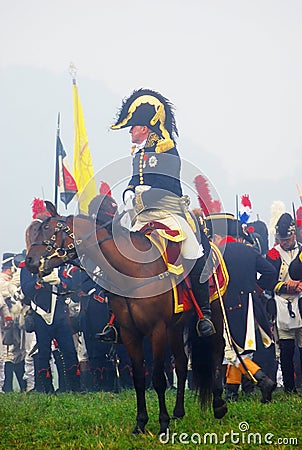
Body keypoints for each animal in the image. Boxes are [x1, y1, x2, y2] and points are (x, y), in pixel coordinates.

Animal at [24, 201, 225, 436]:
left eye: (48, 229)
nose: (29, 261)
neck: (134, 269)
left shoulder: (156, 331)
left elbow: (158, 379)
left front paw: (162, 423)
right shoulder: (130, 333)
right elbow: (138, 377)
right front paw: (140, 423)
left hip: (214, 313)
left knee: (216, 351)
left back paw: (219, 405)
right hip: (176, 326)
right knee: (182, 362)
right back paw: (179, 411)